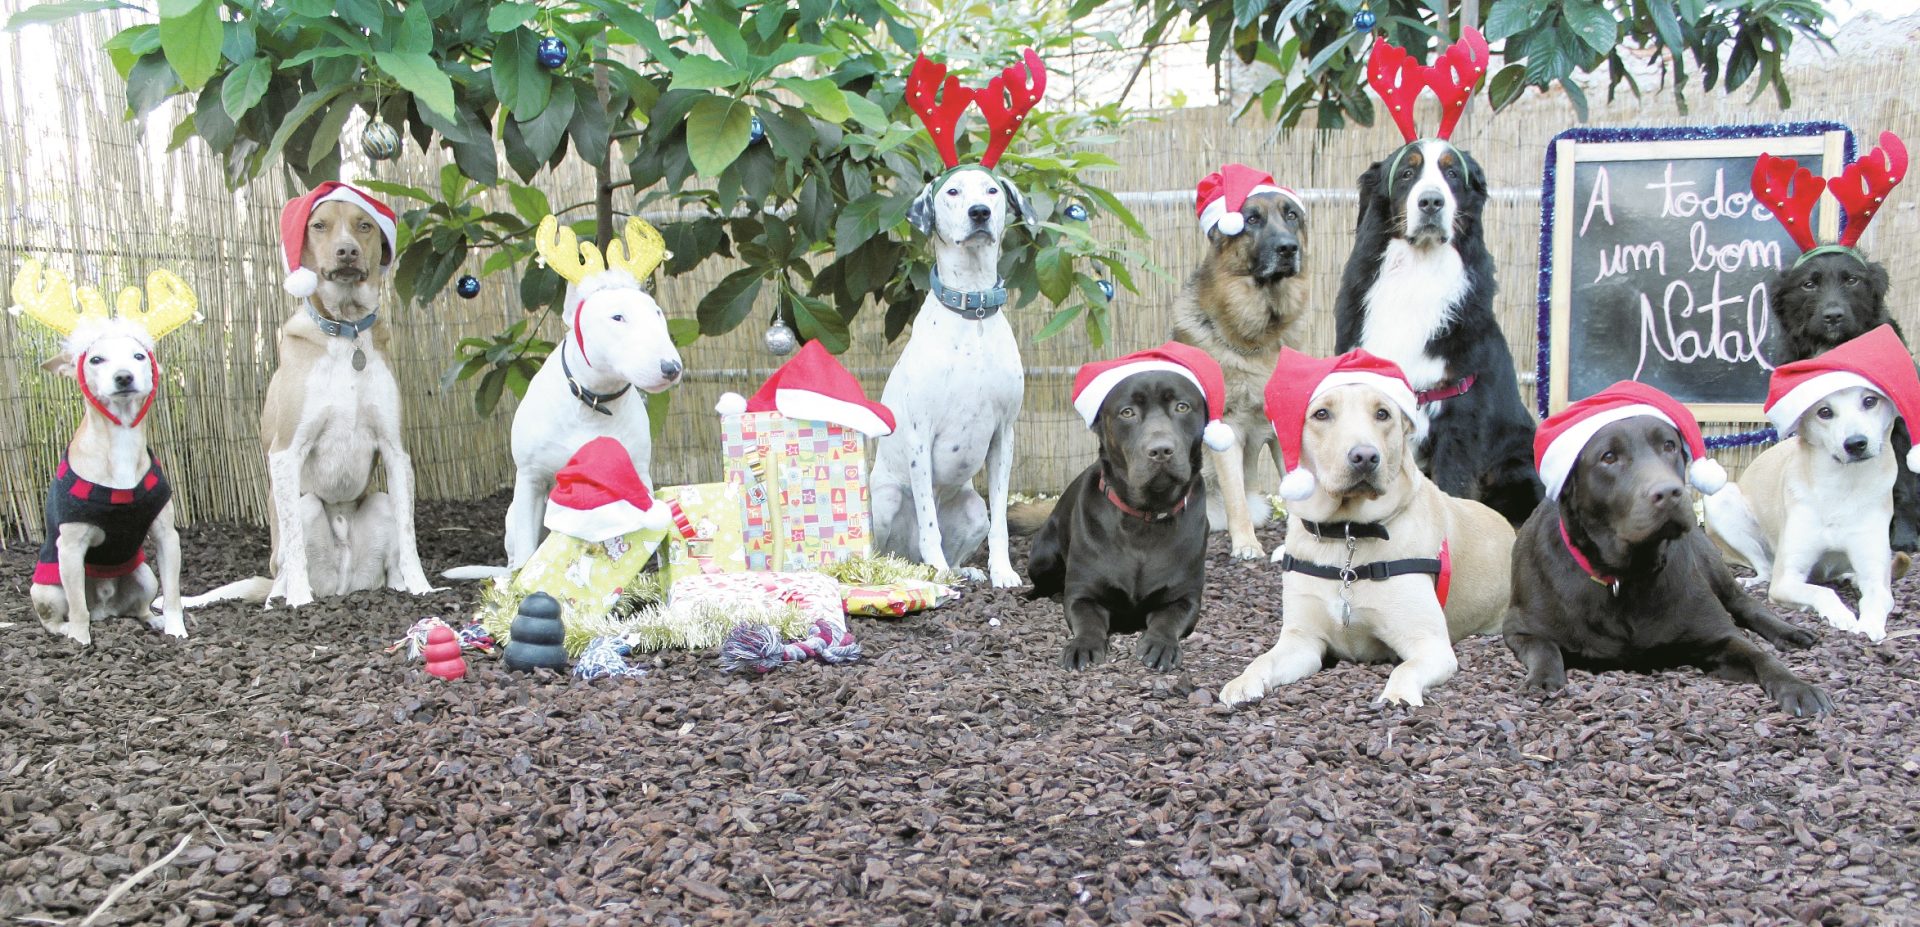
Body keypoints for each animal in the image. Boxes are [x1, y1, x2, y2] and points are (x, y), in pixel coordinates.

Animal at [11, 257, 199, 641]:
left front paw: (176, 628)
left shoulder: (167, 535)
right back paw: (69, 630)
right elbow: (77, 606)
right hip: (46, 588)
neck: (121, 441)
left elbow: (173, 592)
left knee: (139, 607)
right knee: (62, 614)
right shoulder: (70, 548)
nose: (124, 376)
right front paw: (81, 640)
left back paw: (152, 619)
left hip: (144, 574)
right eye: (95, 360)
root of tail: (106, 609)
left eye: (139, 355)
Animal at [186, 185, 435, 614]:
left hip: (380, 502)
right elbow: (294, 542)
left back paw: (398, 587)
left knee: (389, 554)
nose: (347, 251)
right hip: (304, 509)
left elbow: (409, 533)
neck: (347, 332)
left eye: (364, 225)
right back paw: (283, 596)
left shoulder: (395, 449)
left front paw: (421, 587)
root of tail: (343, 585)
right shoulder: (287, 451)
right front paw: (299, 601)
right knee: (286, 559)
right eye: (319, 226)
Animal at [445, 217, 687, 579]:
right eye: (617, 317)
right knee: (516, 552)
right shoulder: (530, 478)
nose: (671, 368)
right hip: (512, 513)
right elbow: (528, 543)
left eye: (657, 313)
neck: (593, 403)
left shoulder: (638, 478)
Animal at [1167, 190, 1305, 560]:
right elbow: (1235, 496)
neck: (1257, 340)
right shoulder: (1225, 426)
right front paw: (1246, 544)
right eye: (1252, 219)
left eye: (1292, 215)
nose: (1289, 248)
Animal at [1758, 134, 1920, 556]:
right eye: (1809, 284)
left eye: (1851, 280)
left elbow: (1902, 483)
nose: (1832, 315)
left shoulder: (1899, 425)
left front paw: (1903, 538)